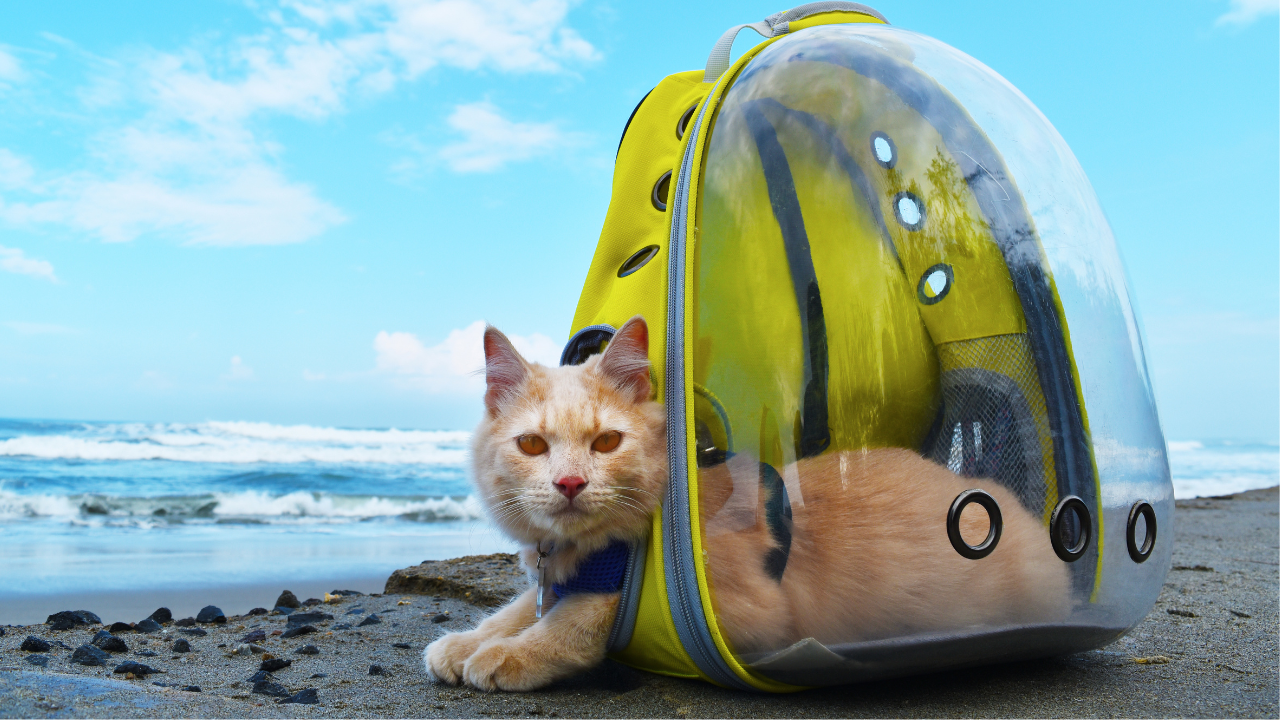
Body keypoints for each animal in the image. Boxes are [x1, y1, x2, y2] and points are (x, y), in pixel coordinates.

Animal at [427, 313, 1070, 691]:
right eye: (532, 445)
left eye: (606, 442)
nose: (568, 485)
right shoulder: (555, 576)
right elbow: (517, 607)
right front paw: (464, 644)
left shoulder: (744, 611)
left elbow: (579, 616)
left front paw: (507, 655)